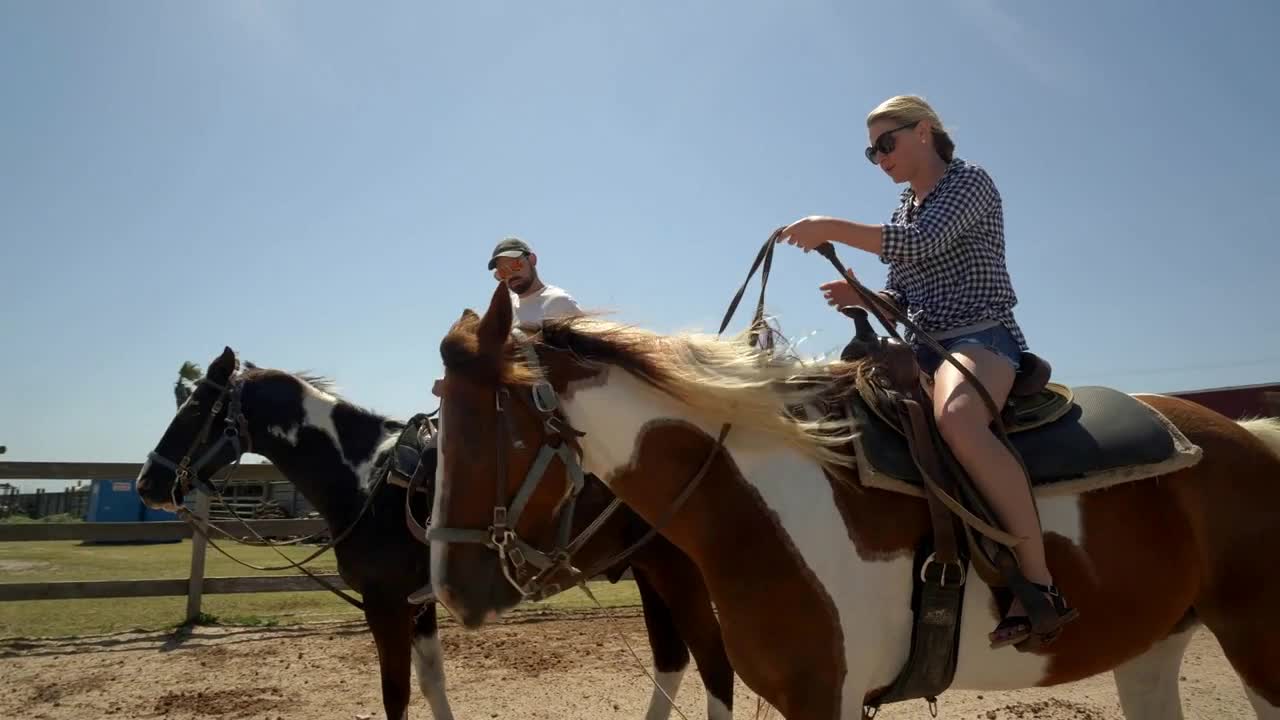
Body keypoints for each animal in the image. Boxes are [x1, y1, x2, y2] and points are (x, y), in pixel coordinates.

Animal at [132, 345, 732, 712]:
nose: (147, 482)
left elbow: (396, 693)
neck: (365, 477)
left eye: (195, 407)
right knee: (673, 662)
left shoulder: (384, 605)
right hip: (650, 572)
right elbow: (431, 684)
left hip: (680, 574)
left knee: (716, 668)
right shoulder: (416, 606)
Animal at [427, 283, 1280, 712]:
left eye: (494, 432)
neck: (761, 503)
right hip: (1152, 649)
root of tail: (1251, 437)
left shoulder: (825, 702)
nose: (451, 589)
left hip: (1255, 643)